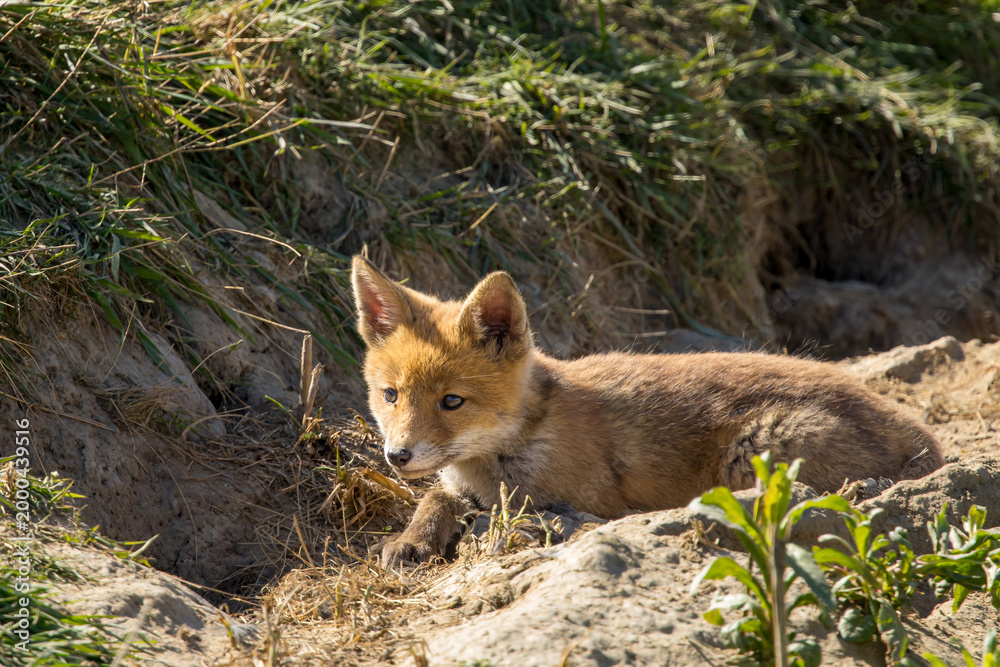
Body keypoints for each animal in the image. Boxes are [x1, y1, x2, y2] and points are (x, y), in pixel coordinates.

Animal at [351, 256, 944, 566]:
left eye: (452, 401)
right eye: (391, 395)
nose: (397, 456)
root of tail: (925, 439)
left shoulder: (574, 499)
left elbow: (508, 513)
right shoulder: (455, 483)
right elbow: (434, 500)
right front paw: (411, 541)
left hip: (754, 450)